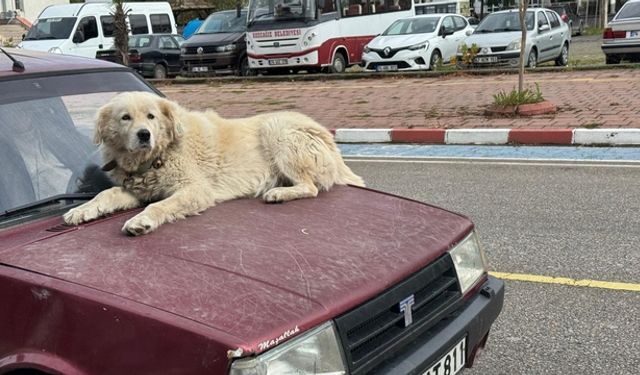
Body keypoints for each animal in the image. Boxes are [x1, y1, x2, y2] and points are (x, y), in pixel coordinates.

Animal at [66, 90, 364, 235]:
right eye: (125, 117)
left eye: (151, 116)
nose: (144, 135)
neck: (156, 157)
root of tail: (329, 139)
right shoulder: (137, 190)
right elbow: (107, 193)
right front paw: (82, 210)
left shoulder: (195, 189)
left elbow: (161, 205)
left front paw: (141, 221)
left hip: (277, 129)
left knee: (311, 187)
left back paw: (278, 192)